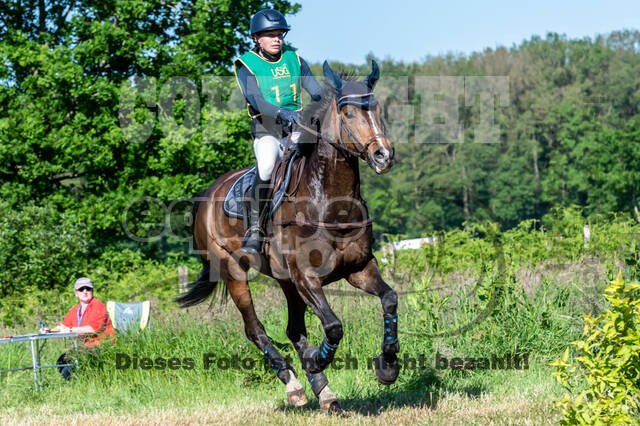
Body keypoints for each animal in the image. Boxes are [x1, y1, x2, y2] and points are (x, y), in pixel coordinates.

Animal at [177, 60, 398, 412]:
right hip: (234, 272)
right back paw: (295, 385)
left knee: (294, 330)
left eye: (376, 108)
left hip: (285, 281)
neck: (329, 201)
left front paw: (388, 366)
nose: (383, 156)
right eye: (348, 113)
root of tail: (208, 193)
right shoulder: (306, 276)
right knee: (254, 329)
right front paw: (316, 361)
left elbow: (389, 299)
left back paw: (324, 392)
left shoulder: (359, 268)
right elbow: (334, 326)